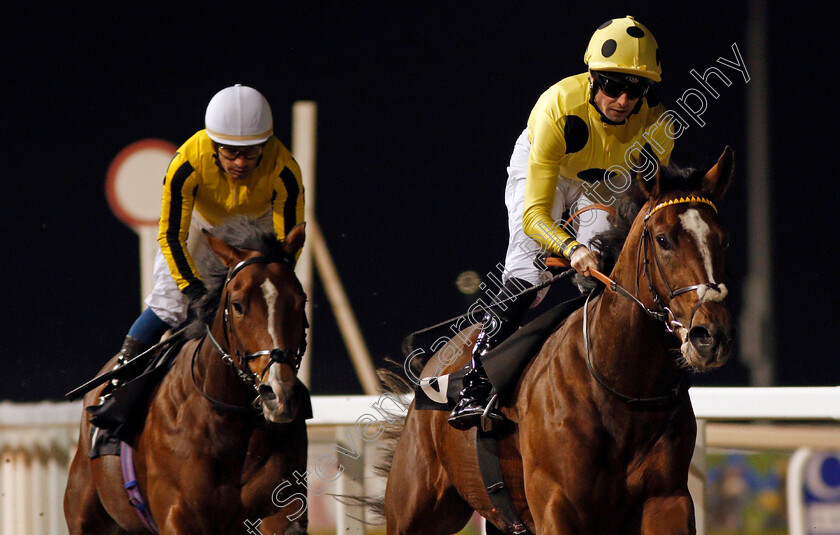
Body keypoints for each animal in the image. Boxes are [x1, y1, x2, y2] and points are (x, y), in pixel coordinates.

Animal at [63, 219, 312, 535]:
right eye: (238, 305)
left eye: (300, 301)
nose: (279, 394)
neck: (230, 423)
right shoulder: (177, 513)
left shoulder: (281, 508)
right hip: (87, 514)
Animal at [386, 148, 736, 535]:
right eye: (663, 239)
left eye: (723, 240)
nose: (711, 337)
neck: (622, 386)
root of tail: (433, 365)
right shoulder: (557, 506)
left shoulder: (667, 499)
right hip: (415, 511)